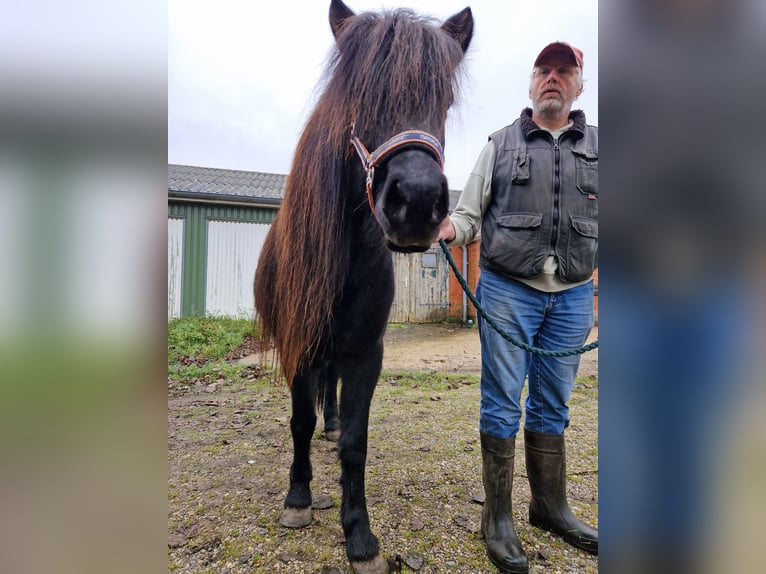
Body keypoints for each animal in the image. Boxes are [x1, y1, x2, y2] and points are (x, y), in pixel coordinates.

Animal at [254, 1, 472, 571]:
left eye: (445, 100)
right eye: (361, 96)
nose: (417, 203)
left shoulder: (367, 353)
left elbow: (355, 441)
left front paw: (359, 535)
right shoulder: (298, 345)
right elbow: (299, 422)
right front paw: (298, 498)